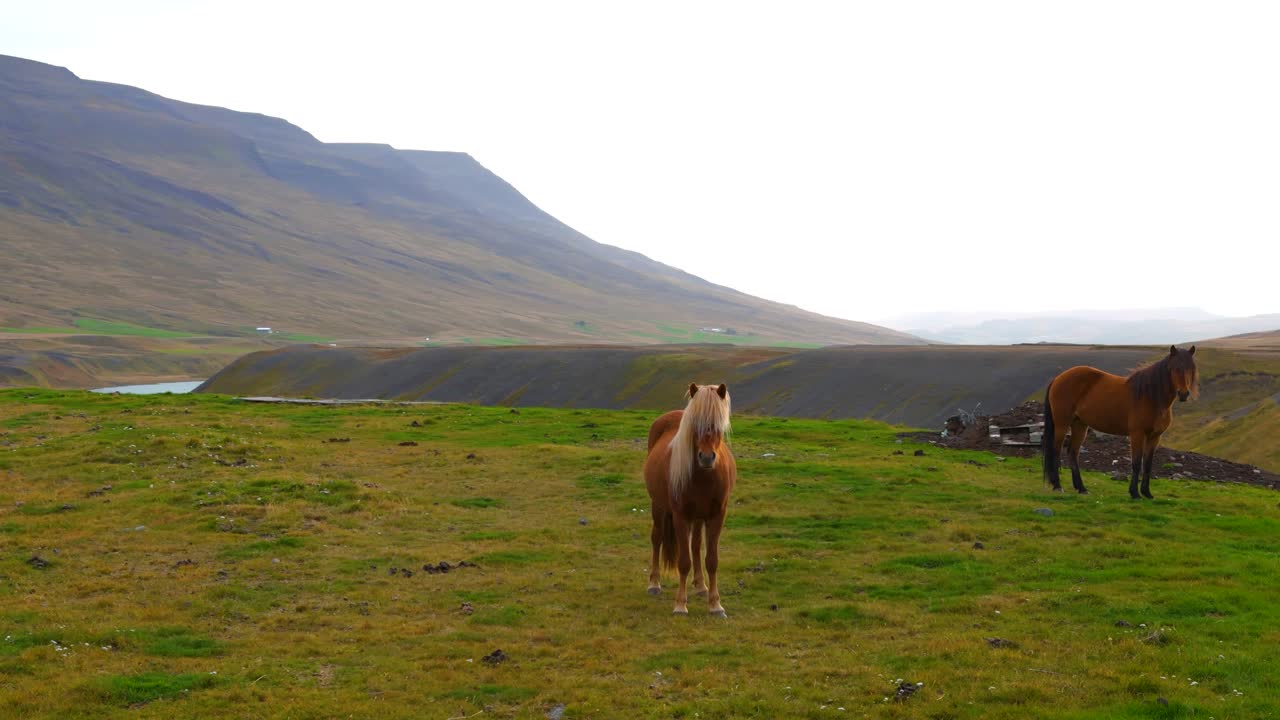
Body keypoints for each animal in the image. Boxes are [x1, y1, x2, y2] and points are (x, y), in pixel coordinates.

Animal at [644, 382, 737, 616]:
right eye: (694, 424)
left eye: (718, 423)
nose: (707, 457)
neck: (705, 476)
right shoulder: (680, 516)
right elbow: (683, 561)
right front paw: (680, 604)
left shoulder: (717, 515)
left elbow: (711, 560)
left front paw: (715, 605)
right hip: (659, 507)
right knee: (657, 538)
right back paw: (654, 584)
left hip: (698, 517)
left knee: (695, 546)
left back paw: (701, 586)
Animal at [1043, 345, 1198, 499]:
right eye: (1175, 368)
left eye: (1191, 369)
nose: (1184, 394)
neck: (1150, 397)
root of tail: (1058, 378)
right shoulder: (1137, 434)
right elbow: (1136, 462)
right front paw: (1134, 493)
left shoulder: (1155, 436)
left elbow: (1148, 464)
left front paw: (1147, 493)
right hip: (1062, 424)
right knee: (1056, 450)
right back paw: (1057, 486)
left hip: (1080, 425)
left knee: (1073, 453)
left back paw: (1081, 488)